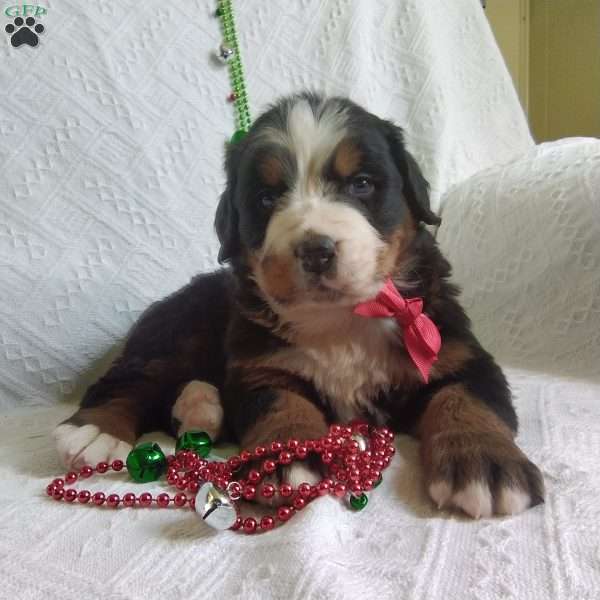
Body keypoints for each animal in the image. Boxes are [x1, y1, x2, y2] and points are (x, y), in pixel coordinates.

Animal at [55, 91, 544, 516]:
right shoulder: (262, 368)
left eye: (361, 184)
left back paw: (201, 407)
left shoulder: (458, 352)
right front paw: (283, 459)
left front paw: (484, 464)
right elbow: (282, 405)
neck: (341, 319)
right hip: (177, 333)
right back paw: (95, 432)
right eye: (266, 198)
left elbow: (464, 400)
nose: (315, 250)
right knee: (131, 381)